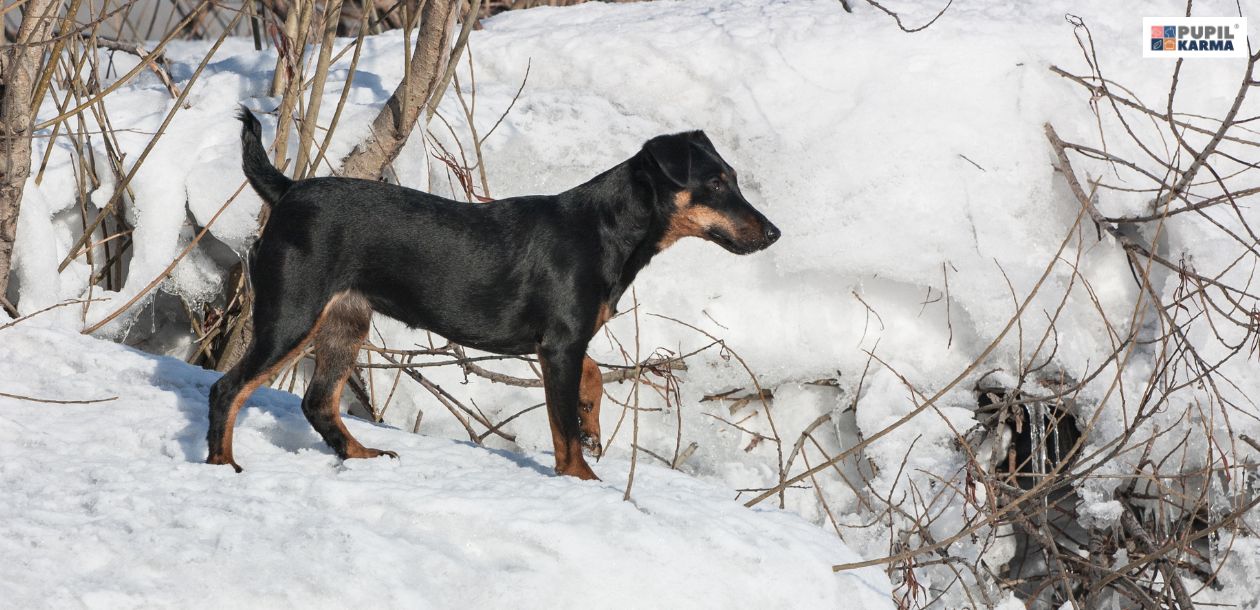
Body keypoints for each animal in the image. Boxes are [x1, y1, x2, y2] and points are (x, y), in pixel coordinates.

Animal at [206, 109, 776, 481]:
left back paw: (362, 455)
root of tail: (286, 191)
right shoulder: (560, 344)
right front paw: (584, 482)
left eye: (734, 179)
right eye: (716, 184)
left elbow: (590, 380)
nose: (773, 234)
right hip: (292, 315)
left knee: (318, 402)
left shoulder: (563, 343)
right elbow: (562, 431)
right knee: (227, 389)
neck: (606, 228)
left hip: (346, 319)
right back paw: (222, 465)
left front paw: (593, 420)